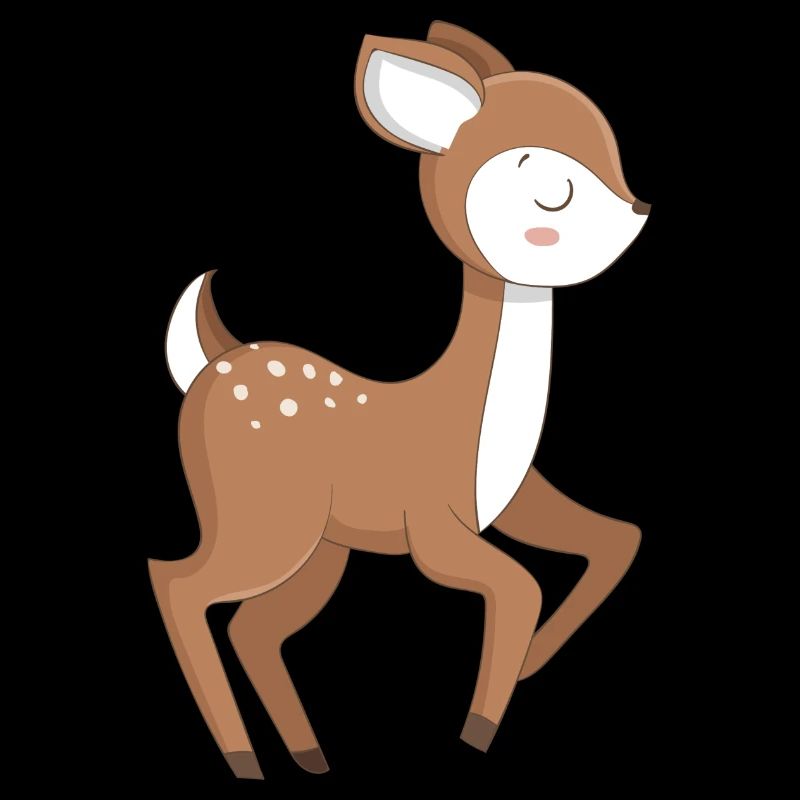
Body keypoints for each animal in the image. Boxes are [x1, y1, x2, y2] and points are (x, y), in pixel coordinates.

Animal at [151, 21, 650, 781]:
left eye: (613, 150)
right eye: (552, 190)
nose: (639, 211)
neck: (474, 419)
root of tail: (209, 364)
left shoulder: (514, 498)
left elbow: (619, 538)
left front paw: (530, 665)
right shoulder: (434, 525)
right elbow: (523, 585)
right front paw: (477, 729)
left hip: (319, 547)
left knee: (253, 626)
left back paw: (308, 756)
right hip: (263, 520)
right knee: (178, 584)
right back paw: (244, 760)